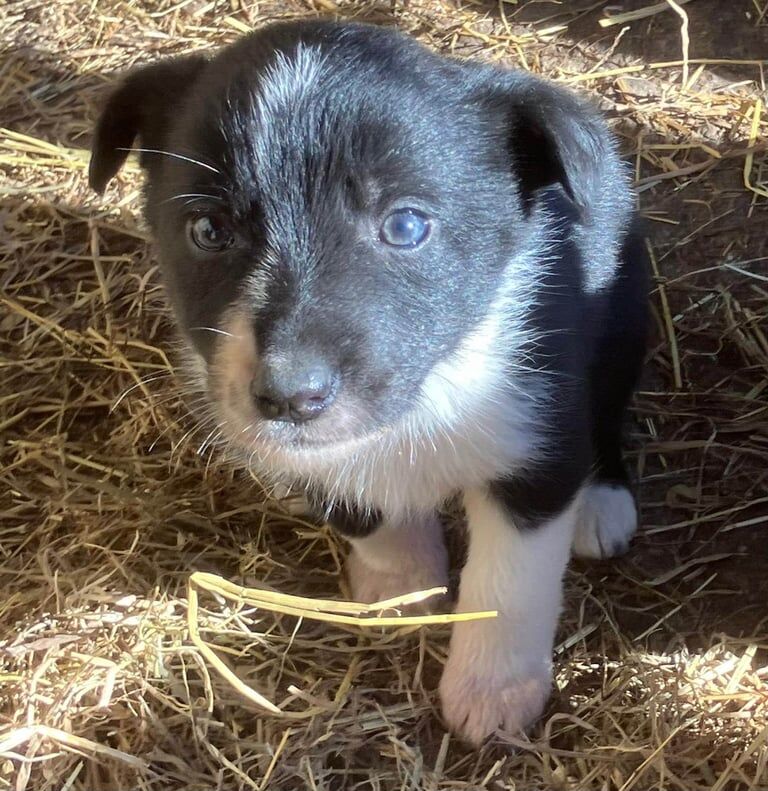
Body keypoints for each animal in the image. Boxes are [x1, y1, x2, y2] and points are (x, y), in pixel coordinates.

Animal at [88, 21, 648, 744]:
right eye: (208, 229)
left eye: (405, 225)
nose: (289, 397)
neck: (428, 389)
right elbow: (362, 509)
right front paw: (401, 586)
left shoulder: (537, 437)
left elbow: (509, 581)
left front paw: (493, 691)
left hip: (625, 315)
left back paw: (602, 505)